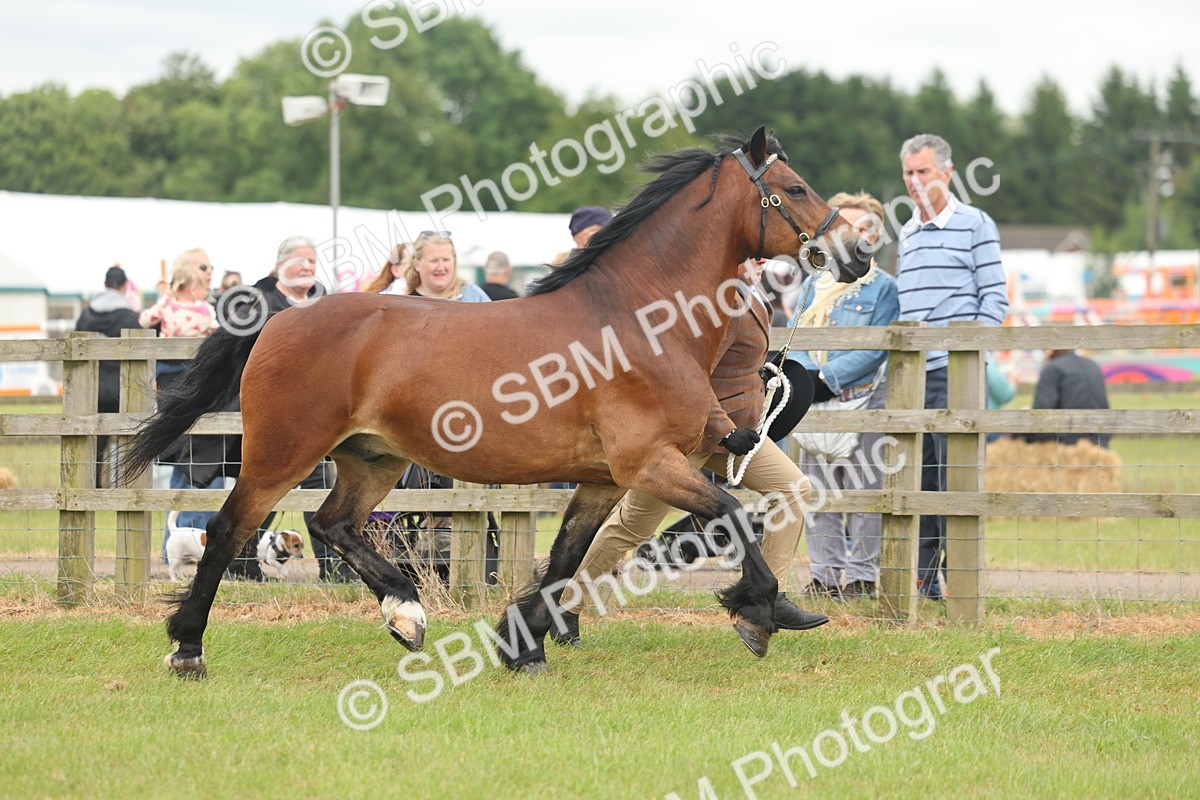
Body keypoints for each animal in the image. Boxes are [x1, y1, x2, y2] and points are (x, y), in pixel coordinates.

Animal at [119, 126, 871, 678]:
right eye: (795, 188)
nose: (858, 253)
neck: (639, 320)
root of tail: (280, 318)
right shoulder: (650, 465)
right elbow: (734, 515)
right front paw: (762, 612)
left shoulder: (604, 481)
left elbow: (564, 561)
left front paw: (524, 646)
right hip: (283, 452)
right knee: (228, 531)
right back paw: (188, 648)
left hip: (373, 458)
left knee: (332, 523)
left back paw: (406, 613)